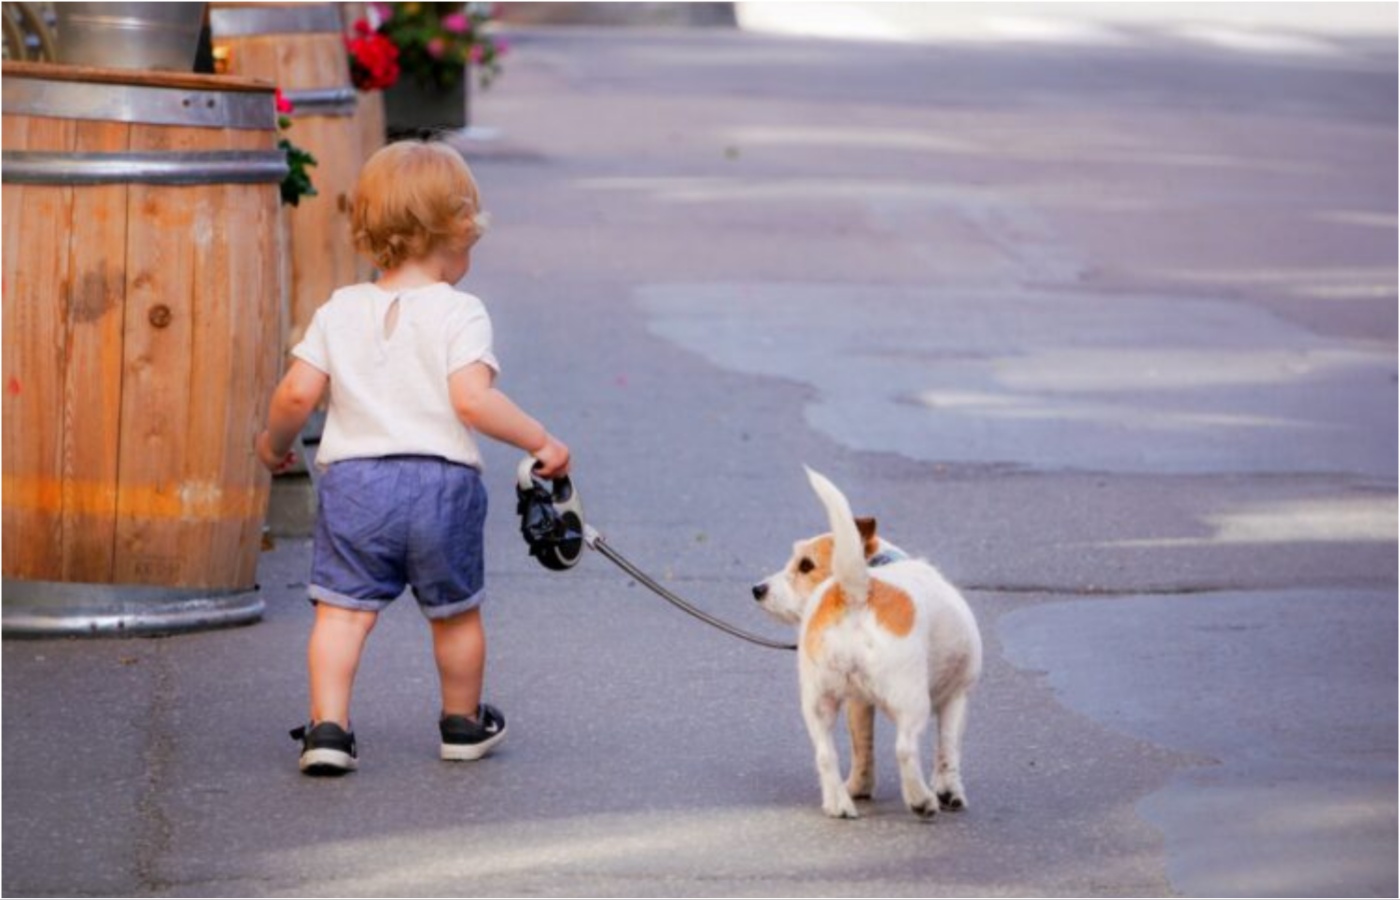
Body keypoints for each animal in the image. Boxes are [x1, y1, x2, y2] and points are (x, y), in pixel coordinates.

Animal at [756, 467, 985, 823]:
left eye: (805, 565)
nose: (758, 589)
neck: (879, 564)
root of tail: (856, 591)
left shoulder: (859, 704)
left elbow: (862, 747)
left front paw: (860, 788)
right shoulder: (957, 696)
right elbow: (948, 750)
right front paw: (950, 793)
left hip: (817, 703)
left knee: (825, 755)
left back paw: (838, 803)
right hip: (912, 700)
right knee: (905, 749)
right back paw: (921, 800)